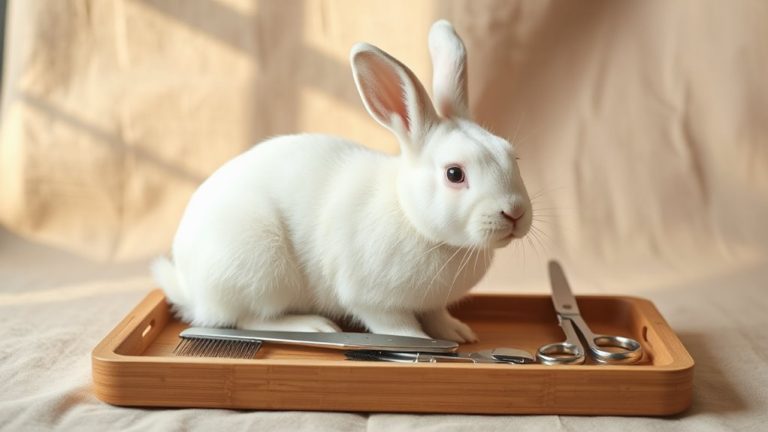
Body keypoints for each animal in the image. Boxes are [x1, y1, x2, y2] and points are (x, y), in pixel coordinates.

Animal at [151, 20, 532, 343]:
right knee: (247, 318)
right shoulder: (369, 298)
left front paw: (459, 333)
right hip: (259, 268)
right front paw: (422, 343)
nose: (514, 213)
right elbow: (396, 326)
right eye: (454, 174)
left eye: (513, 156)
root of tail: (191, 288)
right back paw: (313, 326)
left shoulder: (432, 302)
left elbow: (437, 315)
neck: (413, 219)